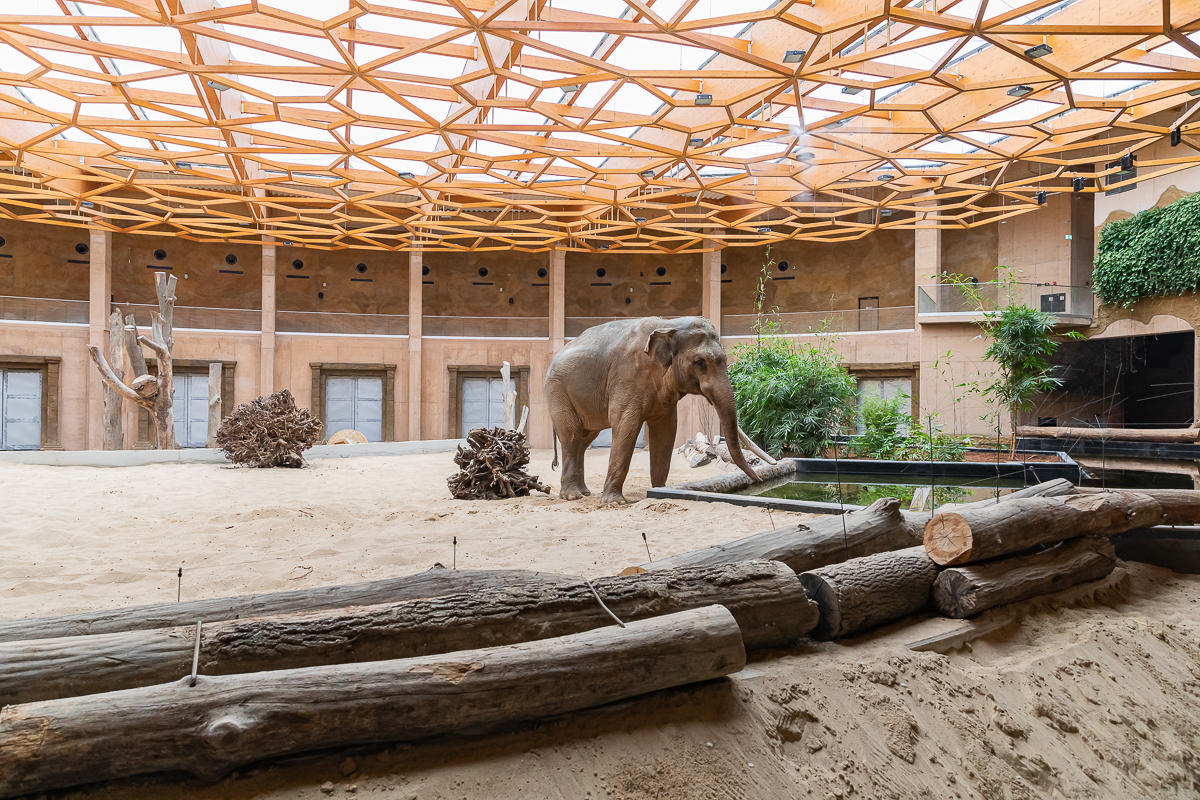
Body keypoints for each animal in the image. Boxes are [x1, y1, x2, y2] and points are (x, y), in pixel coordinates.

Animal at [542, 316, 772, 503]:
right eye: (700, 362)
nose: (758, 480)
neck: (669, 324)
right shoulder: (627, 375)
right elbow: (626, 426)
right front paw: (615, 502)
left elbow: (666, 430)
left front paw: (661, 492)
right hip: (557, 391)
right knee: (572, 437)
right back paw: (572, 496)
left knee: (585, 438)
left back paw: (584, 493)